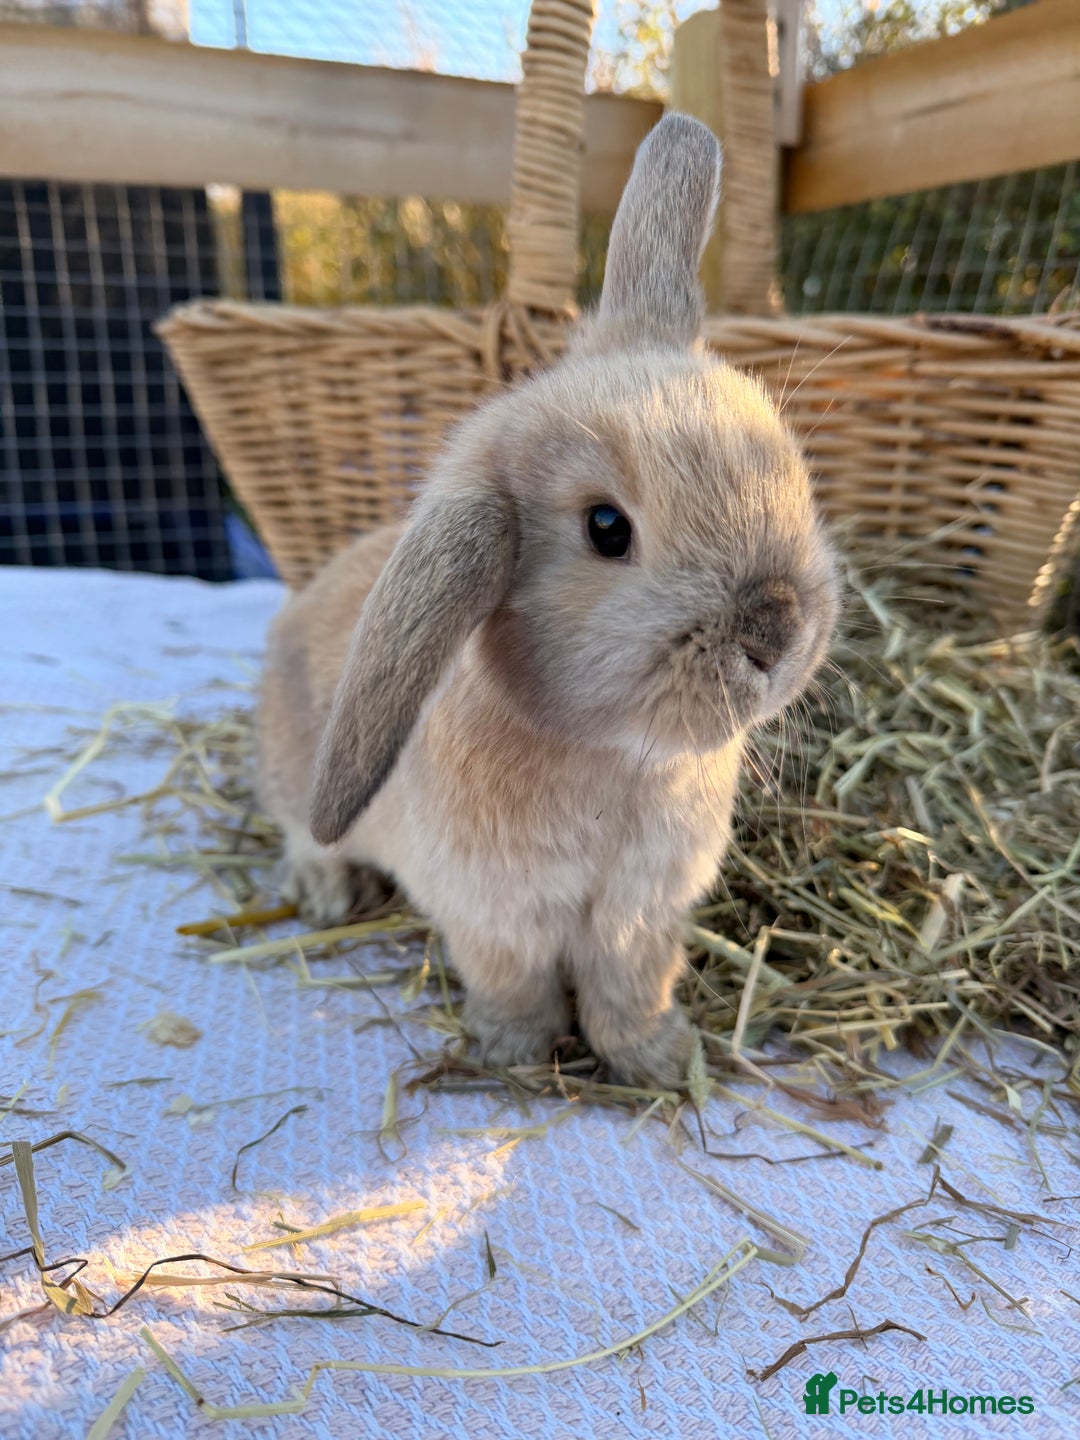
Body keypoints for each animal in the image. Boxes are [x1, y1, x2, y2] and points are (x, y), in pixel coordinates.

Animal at [256, 113, 841, 1089]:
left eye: (787, 457)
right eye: (607, 528)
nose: (777, 632)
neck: (615, 758)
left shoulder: (641, 914)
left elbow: (630, 988)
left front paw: (659, 1061)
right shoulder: (495, 914)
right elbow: (514, 982)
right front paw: (516, 1056)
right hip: (295, 776)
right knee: (302, 830)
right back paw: (328, 893)